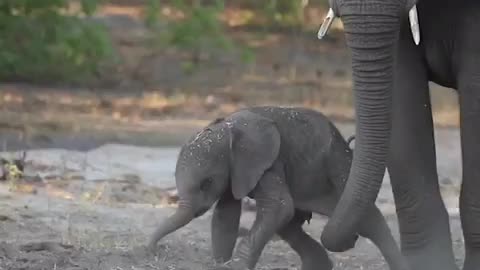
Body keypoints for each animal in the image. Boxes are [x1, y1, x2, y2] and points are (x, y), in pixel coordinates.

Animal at [147, 106, 408, 270]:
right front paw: (221, 264)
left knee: (368, 220)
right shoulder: (236, 170)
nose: (152, 251)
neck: (229, 127)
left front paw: (236, 267)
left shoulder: (268, 162)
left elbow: (278, 208)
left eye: (206, 183)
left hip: (339, 165)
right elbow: (225, 215)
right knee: (289, 226)